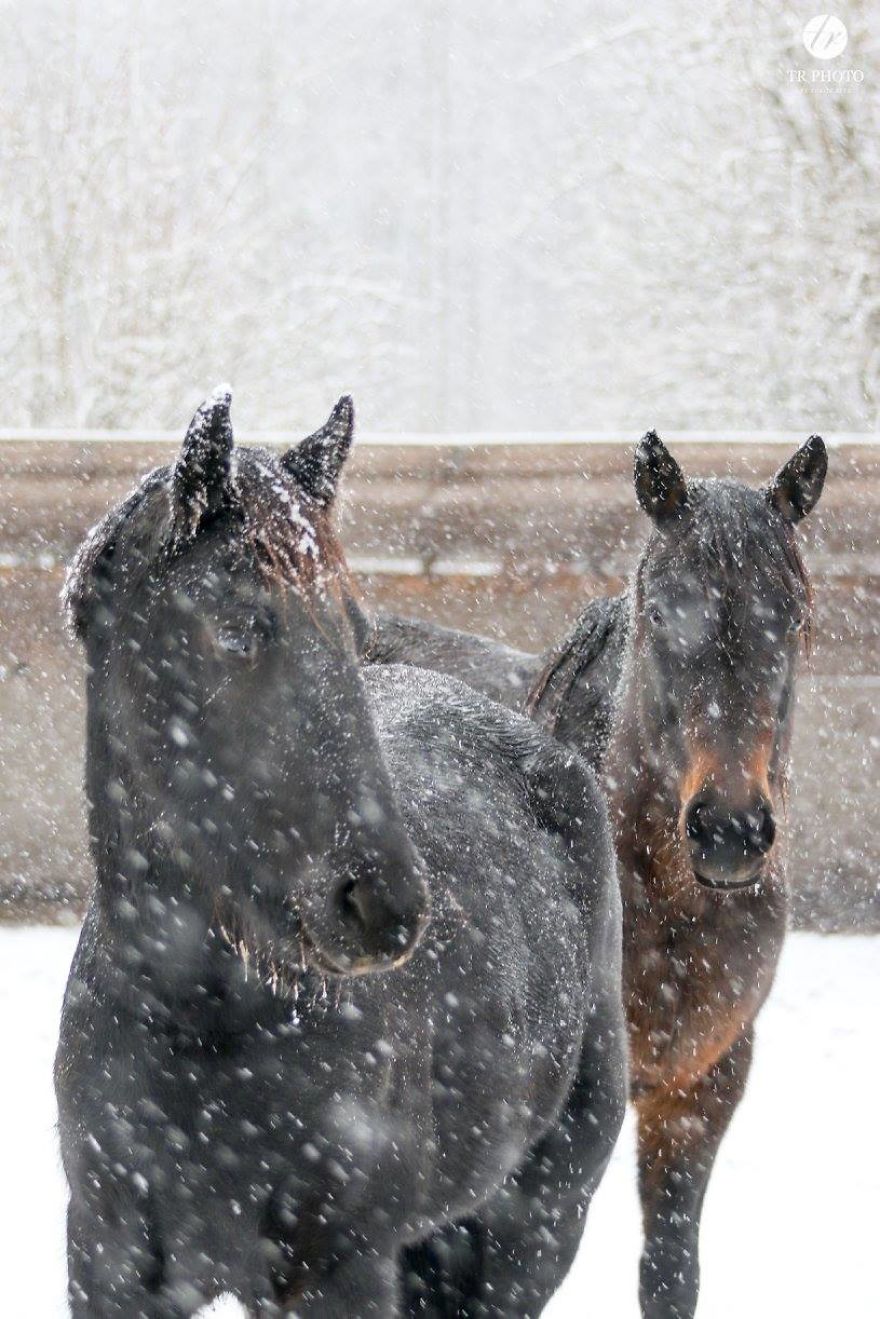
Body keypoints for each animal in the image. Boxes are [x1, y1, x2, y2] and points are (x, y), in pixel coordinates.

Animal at [55, 389, 626, 1317]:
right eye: (236, 626)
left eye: (356, 634)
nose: (384, 901)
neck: (199, 1029)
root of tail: (555, 740)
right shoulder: (108, 1265)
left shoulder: (342, 1271)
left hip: (530, 1229)